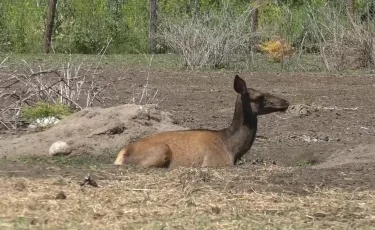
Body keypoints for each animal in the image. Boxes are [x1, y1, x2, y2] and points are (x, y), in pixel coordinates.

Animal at [114, 74, 290, 168]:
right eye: (260, 97)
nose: (286, 102)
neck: (233, 148)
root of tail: (122, 154)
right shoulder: (216, 162)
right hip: (161, 150)